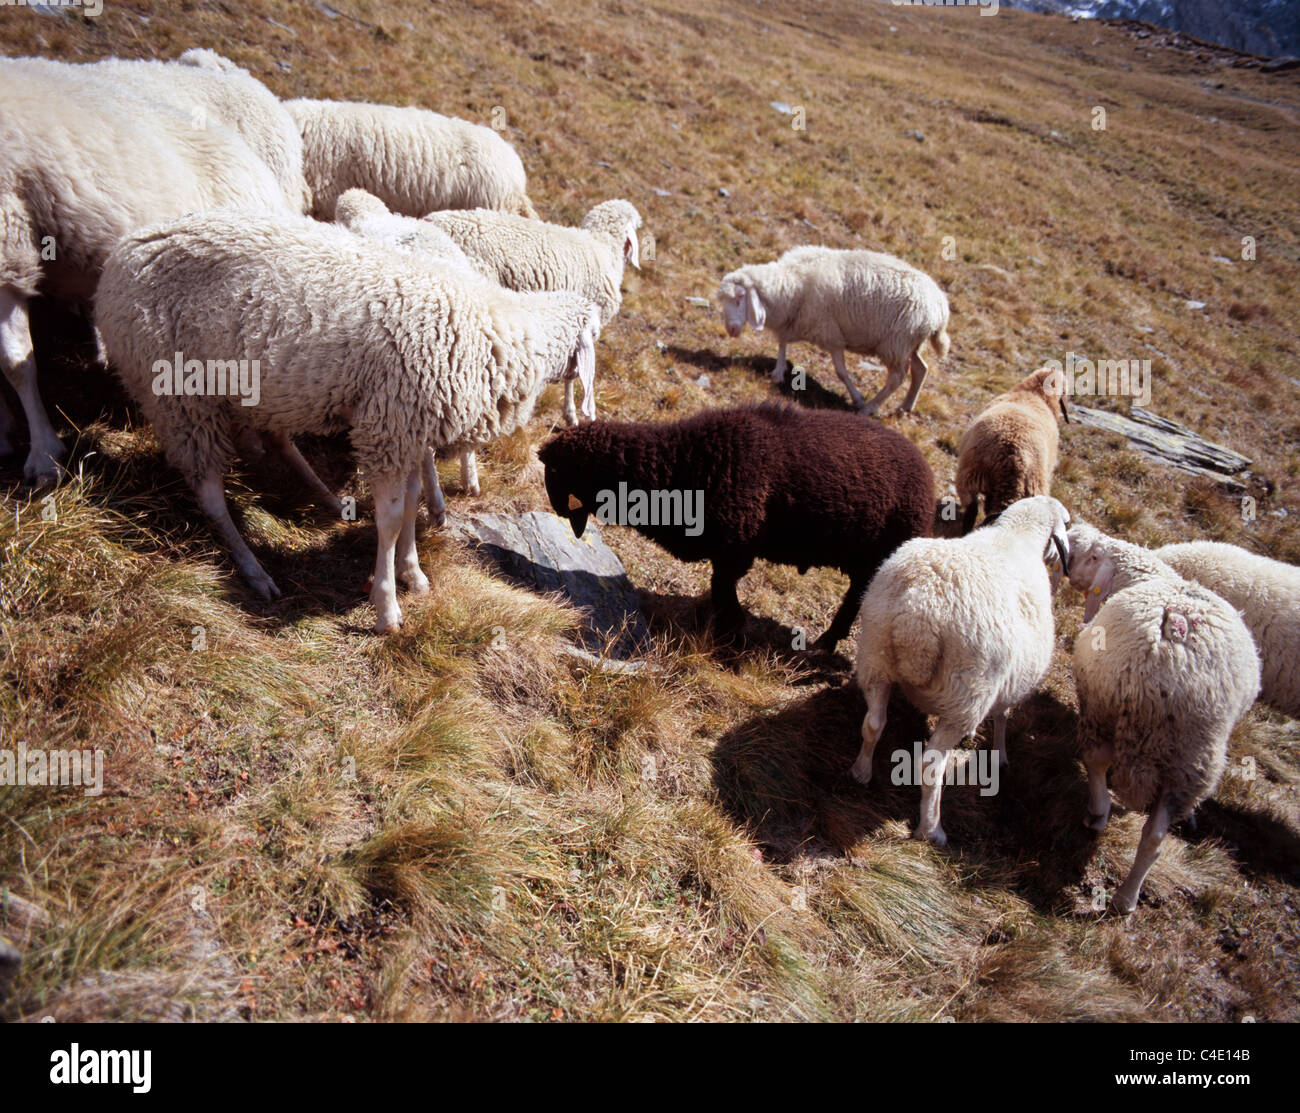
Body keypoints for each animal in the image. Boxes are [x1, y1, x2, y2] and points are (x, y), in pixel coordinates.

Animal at [94, 209, 599, 633]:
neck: (499, 331)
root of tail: (123, 251)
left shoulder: (408, 428)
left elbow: (412, 501)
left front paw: (412, 573)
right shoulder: (390, 425)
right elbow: (391, 518)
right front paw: (387, 606)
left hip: (248, 391)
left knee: (274, 444)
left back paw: (328, 500)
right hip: (177, 394)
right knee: (209, 494)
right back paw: (255, 571)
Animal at [538, 403, 935, 648]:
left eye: (558, 472)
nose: (559, 513)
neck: (681, 462)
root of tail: (927, 474)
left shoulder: (735, 549)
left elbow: (723, 589)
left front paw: (733, 632)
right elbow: (720, 589)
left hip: (880, 559)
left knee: (855, 601)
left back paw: (825, 643)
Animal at [718, 246, 951, 415]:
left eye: (739, 298)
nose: (730, 330)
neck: (792, 282)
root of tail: (940, 308)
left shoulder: (831, 334)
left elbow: (841, 372)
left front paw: (857, 397)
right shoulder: (793, 319)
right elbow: (782, 343)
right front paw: (778, 371)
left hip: (896, 343)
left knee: (897, 377)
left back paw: (869, 408)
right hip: (910, 344)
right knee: (920, 369)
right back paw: (906, 406)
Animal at [852, 495, 1072, 846]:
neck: (1017, 534)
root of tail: (919, 611)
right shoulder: (1007, 686)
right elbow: (1002, 717)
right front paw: (1000, 755)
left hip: (875, 658)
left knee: (873, 723)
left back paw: (862, 772)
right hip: (966, 698)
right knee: (931, 763)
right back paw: (932, 829)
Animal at [1066, 523, 1261, 913]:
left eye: (1091, 555)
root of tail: (1171, 640)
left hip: (1106, 706)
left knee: (1107, 773)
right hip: (1192, 757)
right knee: (1154, 834)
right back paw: (1127, 895)